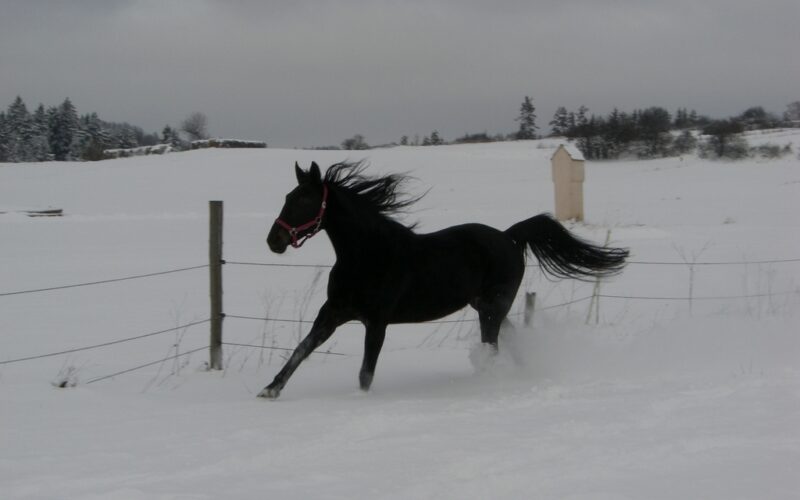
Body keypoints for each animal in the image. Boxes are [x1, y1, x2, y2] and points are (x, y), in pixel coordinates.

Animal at [259, 161, 628, 399]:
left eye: (304, 199)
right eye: (287, 197)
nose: (274, 241)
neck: (366, 255)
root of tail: (509, 237)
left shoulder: (376, 322)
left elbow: (366, 371)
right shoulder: (333, 313)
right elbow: (302, 349)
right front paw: (270, 389)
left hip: (492, 308)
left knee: (493, 345)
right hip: (487, 307)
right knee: (508, 340)